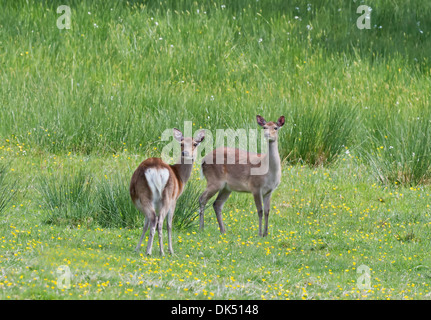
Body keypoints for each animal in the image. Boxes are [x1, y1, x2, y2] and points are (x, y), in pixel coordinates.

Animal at [130, 127, 206, 255]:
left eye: (195, 144)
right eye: (181, 143)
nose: (185, 153)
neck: (180, 178)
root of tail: (156, 169)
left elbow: (145, 224)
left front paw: (137, 248)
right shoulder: (174, 199)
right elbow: (169, 224)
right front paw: (171, 250)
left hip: (145, 197)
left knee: (152, 219)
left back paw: (149, 249)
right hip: (166, 196)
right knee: (159, 221)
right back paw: (160, 251)